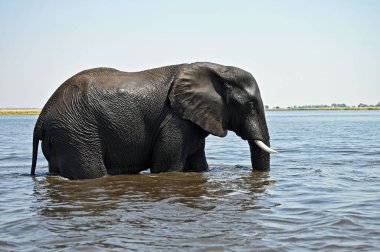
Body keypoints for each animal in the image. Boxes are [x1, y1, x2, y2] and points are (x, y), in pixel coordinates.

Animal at [31, 61, 276, 179]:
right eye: (250, 105)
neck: (216, 68)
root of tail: (42, 117)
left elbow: (199, 165)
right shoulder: (174, 121)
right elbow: (166, 168)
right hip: (76, 133)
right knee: (92, 173)